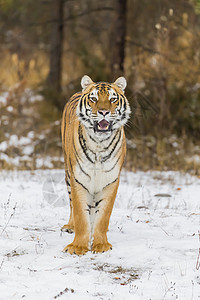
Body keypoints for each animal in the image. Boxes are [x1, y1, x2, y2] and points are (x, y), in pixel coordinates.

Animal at [61, 75, 130, 255]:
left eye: (113, 99)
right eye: (94, 99)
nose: (103, 112)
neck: (100, 143)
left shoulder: (110, 180)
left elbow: (103, 216)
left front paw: (101, 245)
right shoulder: (78, 179)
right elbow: (80, 214)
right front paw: (78, 247)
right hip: (68, 174)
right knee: (72, 205)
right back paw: (70, 226)